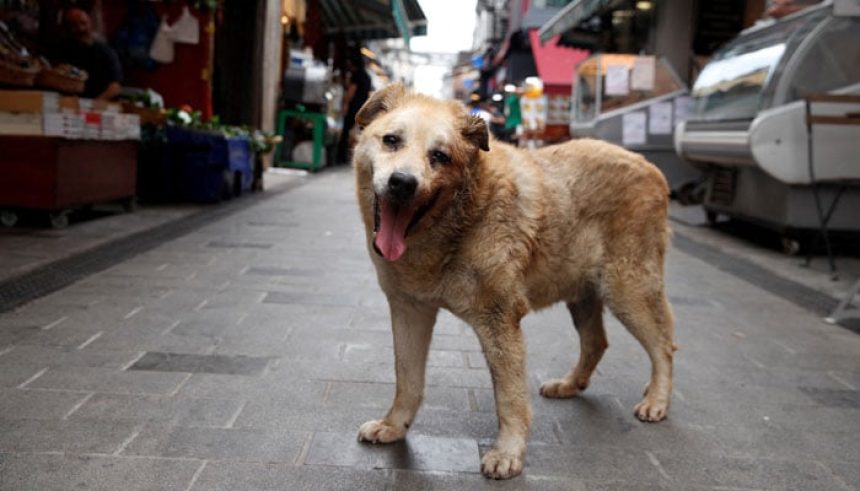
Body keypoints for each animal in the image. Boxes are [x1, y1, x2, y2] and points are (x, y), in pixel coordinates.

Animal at [352, 84, 676, 480]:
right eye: (392, 140)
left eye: (440, 156)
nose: (402, 183)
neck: (462, 218)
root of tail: (650, 166)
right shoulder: (410, 310)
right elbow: (407, 378)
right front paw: (394, 426)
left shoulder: (500, 320)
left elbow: (509, 397)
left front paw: (508, 453)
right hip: (583, 293)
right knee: (597, 342)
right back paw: (570, 385)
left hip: (627, 290)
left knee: (663, 345)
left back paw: (657, 399)